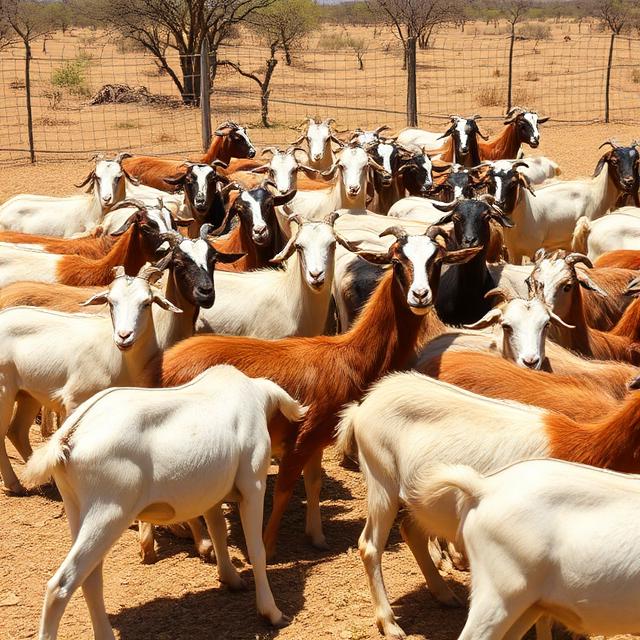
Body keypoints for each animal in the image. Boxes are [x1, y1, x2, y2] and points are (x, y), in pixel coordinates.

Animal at [24, 366, 306, 636]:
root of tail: (68, 437)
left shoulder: (210, 493)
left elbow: (218, 531)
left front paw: (231, 579)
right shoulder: (253, 484)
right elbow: (256, 549)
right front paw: (272, 613)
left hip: (77, 508)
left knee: (90, 579)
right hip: (108, 511)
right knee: (61, 586)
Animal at [154, 228, 480, 558]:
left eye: (437, 260)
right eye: (398, 261)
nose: (420, 295)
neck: (349, 360)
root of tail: (168, 362)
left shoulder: (317, 441)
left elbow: (314, 482)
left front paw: (317, 535)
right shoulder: (300, 440)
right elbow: (284, 490)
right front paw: (268, 546)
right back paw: (198, 540)